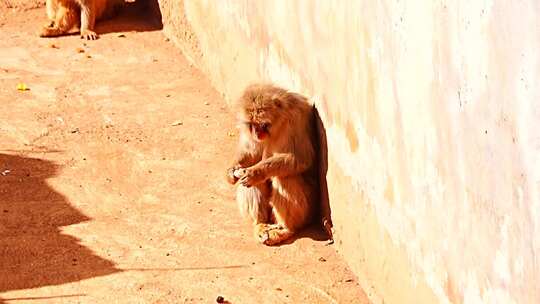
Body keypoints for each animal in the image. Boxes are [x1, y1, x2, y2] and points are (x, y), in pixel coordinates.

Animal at [226, 84, 318, 246]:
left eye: (263, 124)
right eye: (252, 124)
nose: (257, 133)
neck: (279, 122)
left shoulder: (296, 118)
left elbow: (301, 159)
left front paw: (255, 173)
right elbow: (251, 153)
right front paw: (232, 171)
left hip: (309, 209)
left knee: (285, 178)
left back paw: (286, 229)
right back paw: (260, 224)